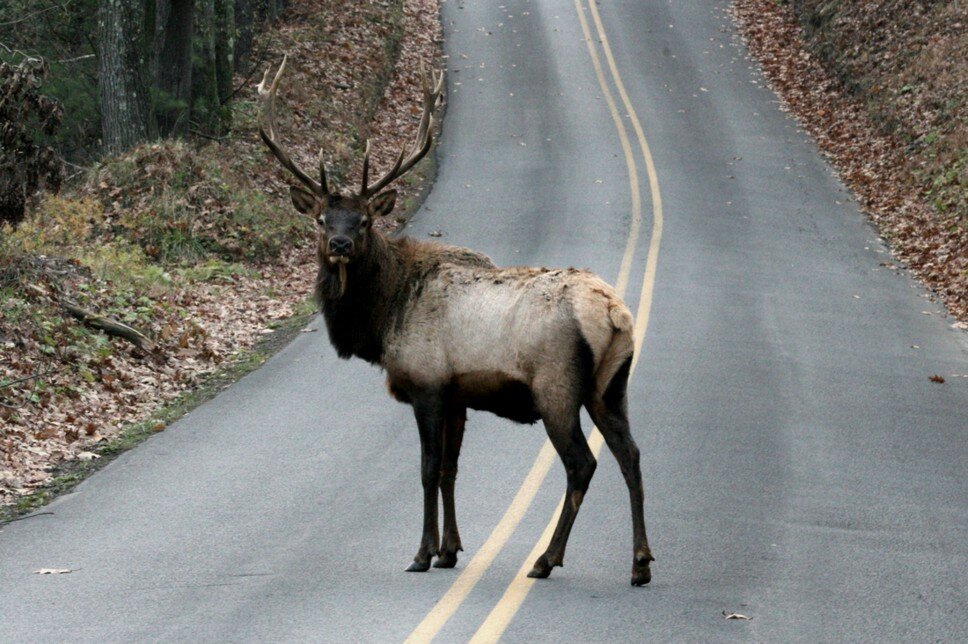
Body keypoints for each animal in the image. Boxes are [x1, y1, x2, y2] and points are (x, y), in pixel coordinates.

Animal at [258, 57, 656, 588]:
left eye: (364, 221)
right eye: (322, 219)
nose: (340, 245)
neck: (382, 321)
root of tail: (613, 312)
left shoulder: (427, 384)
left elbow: (428, 469)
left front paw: (422, 552)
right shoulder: (458, 395)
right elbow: (450, 469)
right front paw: (450, 549)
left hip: (557, 386)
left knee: (582, 463)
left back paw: (546, 559)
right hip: (611, 386)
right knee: (630, 454)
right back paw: (640, 563)